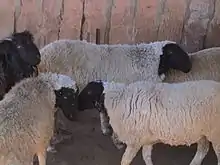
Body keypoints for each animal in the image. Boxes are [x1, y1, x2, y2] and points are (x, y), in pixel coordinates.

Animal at [78, 80, 220, 165]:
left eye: (89, 91)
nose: (76, 105)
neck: (118, 98)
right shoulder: (146, 138)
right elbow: (146, 156)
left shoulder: (135, 140)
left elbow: (125, 160)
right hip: (202, 132)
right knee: (203, 149)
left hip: (215, 133)